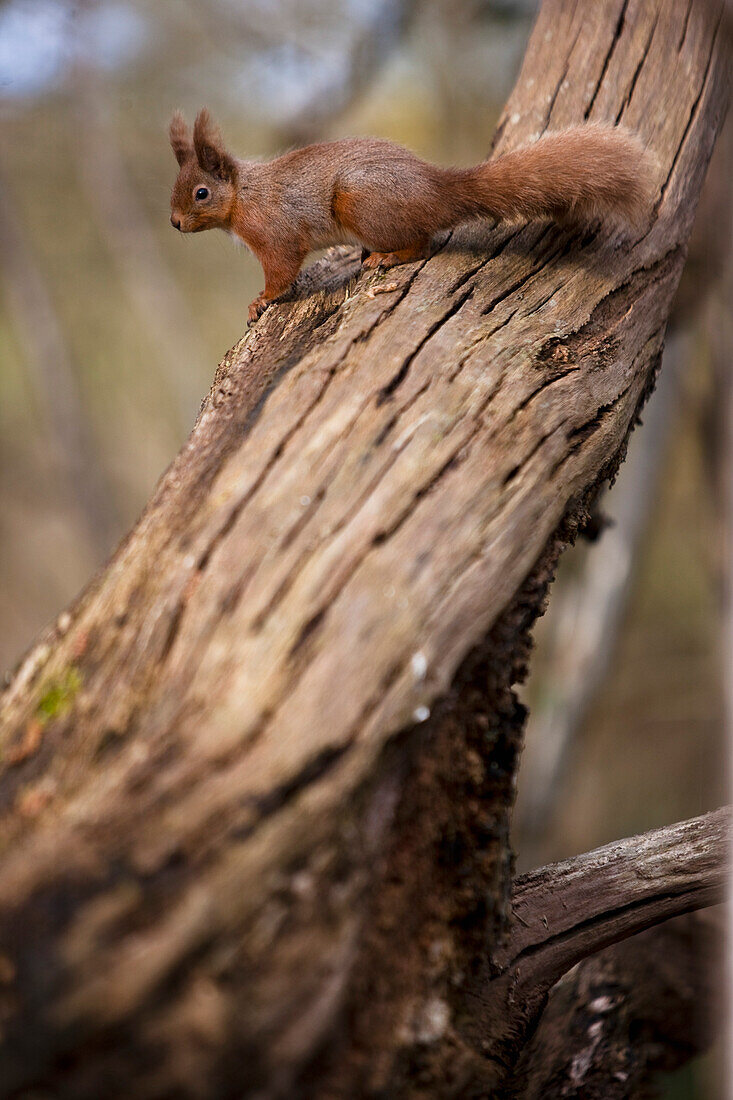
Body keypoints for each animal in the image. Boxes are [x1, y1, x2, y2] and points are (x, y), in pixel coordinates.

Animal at [168, 109, 651, 323]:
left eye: (201, 193)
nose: (174, 223)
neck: (243, 196)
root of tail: (436, 191)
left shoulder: (274, 232)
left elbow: (282, 269)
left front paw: (262, 300)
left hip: (360, 201)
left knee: (423, 241)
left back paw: (389, 256)